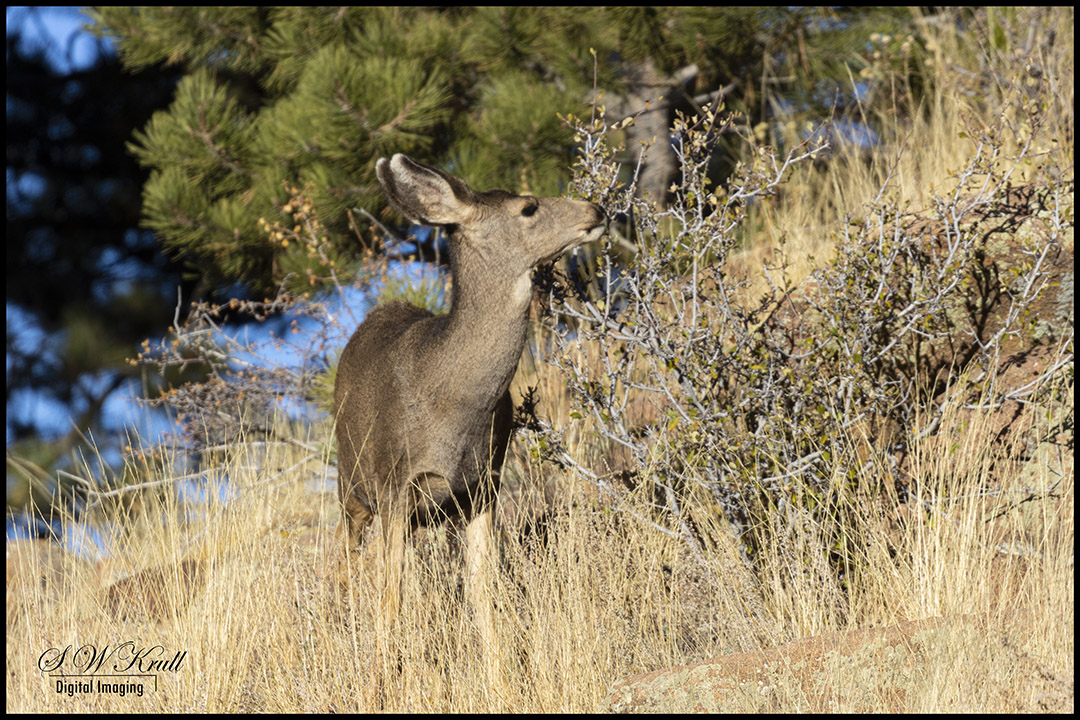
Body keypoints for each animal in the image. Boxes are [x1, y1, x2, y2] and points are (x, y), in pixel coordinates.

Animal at [333, 153, 605, 669]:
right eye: (528, 207)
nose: (595, 208)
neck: (453, 407)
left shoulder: (482, 486)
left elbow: (483, 593)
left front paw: (499, 674)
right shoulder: (395, 482)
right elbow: (390, 599)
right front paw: (384, 675)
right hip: (351, 484)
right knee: (348, 562)